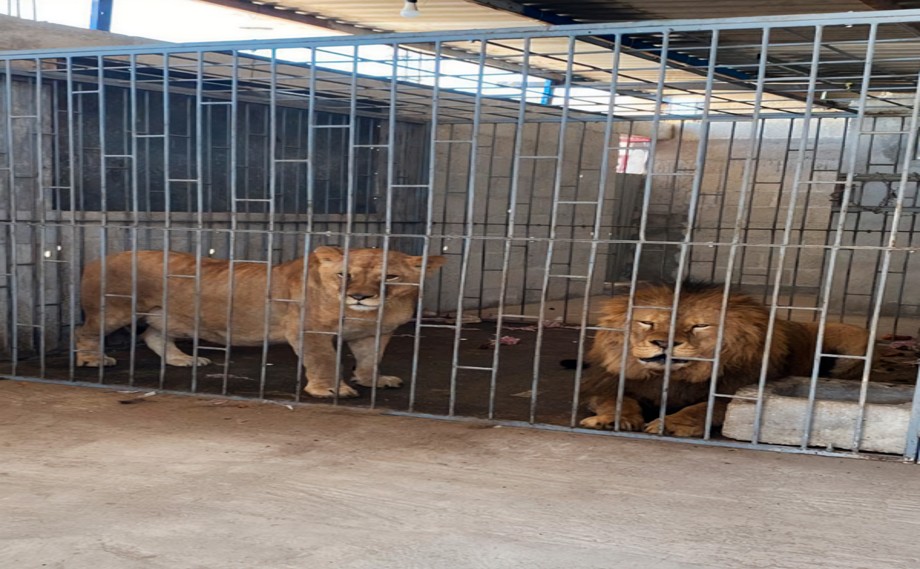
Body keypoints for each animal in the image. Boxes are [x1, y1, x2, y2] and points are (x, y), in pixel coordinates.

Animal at [74, 246, 446, 398]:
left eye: (390, 277)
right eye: (345, 274)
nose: (359, 296)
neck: (367, 314)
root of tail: (99, 257)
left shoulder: (374, 334)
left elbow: (370, 360)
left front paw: (373, 380)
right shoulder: (306, 329)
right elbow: (324, 360)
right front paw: (330, 389)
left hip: (170, 316)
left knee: (153, 335)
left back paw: (183, 359)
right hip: (114, 310)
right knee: (85, 331)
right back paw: (93, 359)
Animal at [580, 282, 872, 438]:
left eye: (699, 326)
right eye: (647, 322)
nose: (664, 343)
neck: (673, 377)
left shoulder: (730, 392)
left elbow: (700, 409)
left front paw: (669, 424)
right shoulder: (605, 384)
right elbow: (617, 399)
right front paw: (611, 419)